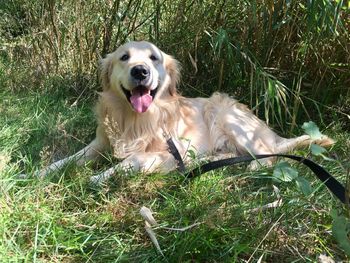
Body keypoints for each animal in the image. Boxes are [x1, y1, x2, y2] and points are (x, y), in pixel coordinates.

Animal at [32, 41, 334, 185]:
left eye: (153, 58)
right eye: (124, 57)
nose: (140, 71)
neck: (136, 119)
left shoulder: (169, 152)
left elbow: (132, 160)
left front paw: (97, 177)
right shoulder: (99, 143)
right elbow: (71, 158)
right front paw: (42, 171)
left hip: (223, 112)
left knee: (267, 155)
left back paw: (251, 167)